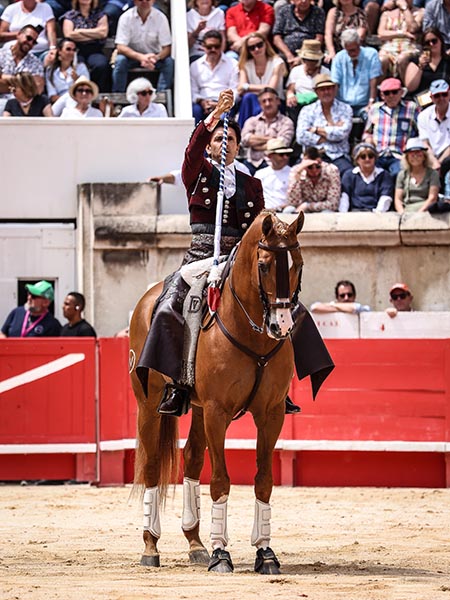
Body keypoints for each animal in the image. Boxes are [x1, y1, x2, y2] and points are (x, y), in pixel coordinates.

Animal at [129, 210, 306, 572]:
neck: (253, 334)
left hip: (195, 408)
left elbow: (264, 480)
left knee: (192, 459)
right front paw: (221, 553)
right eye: (263, 265)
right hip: (149, 403)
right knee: (151, 465)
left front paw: (265, 552)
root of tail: (147, 300)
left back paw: (195, 543)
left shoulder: (272, 414)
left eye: (299, 263)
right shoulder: (217, 411)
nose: (280, 325)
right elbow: (221, 480)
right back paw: (151, 547)